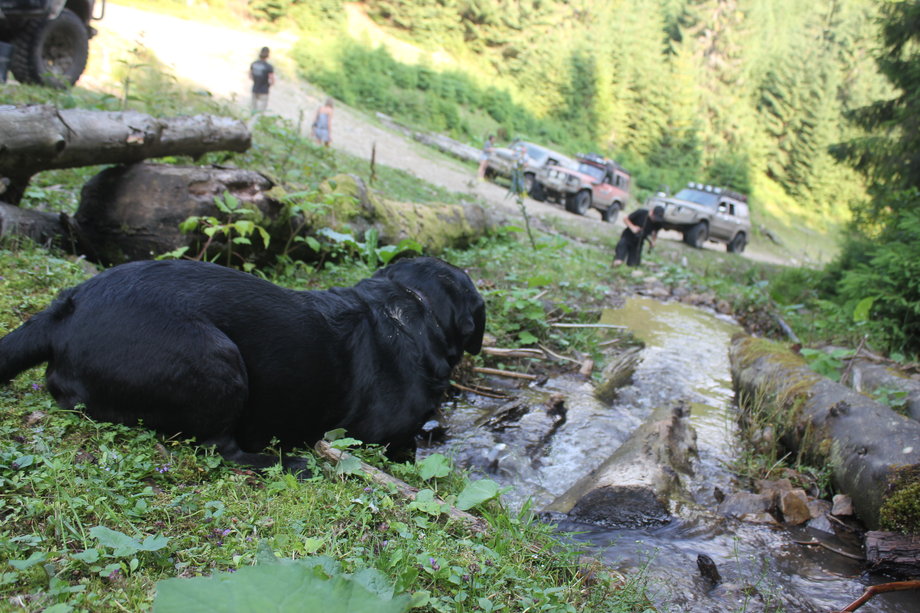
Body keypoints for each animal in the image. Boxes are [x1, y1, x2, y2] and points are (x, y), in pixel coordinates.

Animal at [0, 256, 486, 470]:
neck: (411, 303)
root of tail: (66, 310)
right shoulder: (383, 438)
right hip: (217, 360)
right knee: (221, 447)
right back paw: (283, 462)